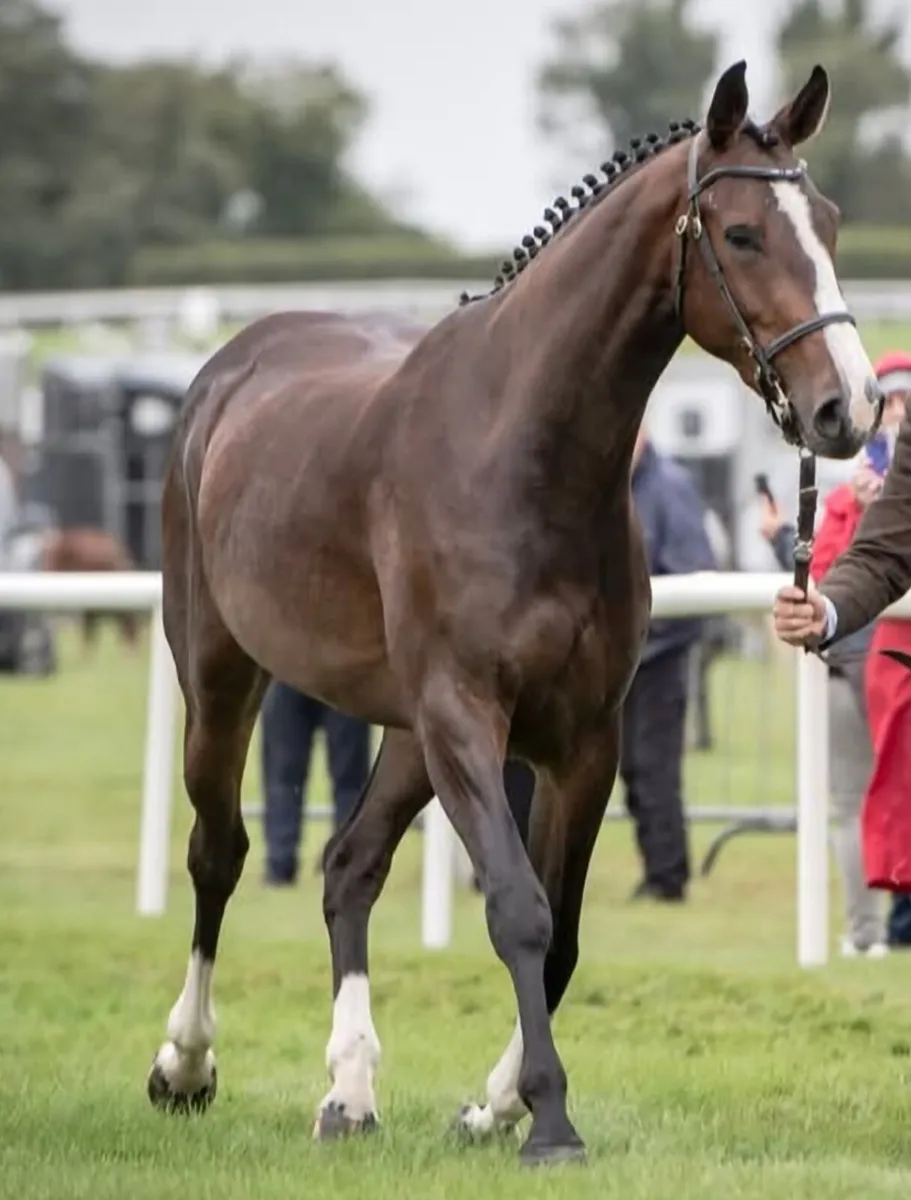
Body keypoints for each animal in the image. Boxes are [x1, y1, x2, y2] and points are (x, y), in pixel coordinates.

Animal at [145, 60, 883, 1166]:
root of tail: (225, 372)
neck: (520, 455)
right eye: (743, 232)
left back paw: (348, 1092)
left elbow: (562, 929)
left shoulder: (580, 738)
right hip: (223, 677)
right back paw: (186, 1065)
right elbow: (517, 910)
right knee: (219, 851)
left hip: (405, 732)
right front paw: (550, 1120)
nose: (847, 408)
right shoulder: (466, 717)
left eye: (829, 224)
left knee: (346, 866)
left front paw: (495, 1106)